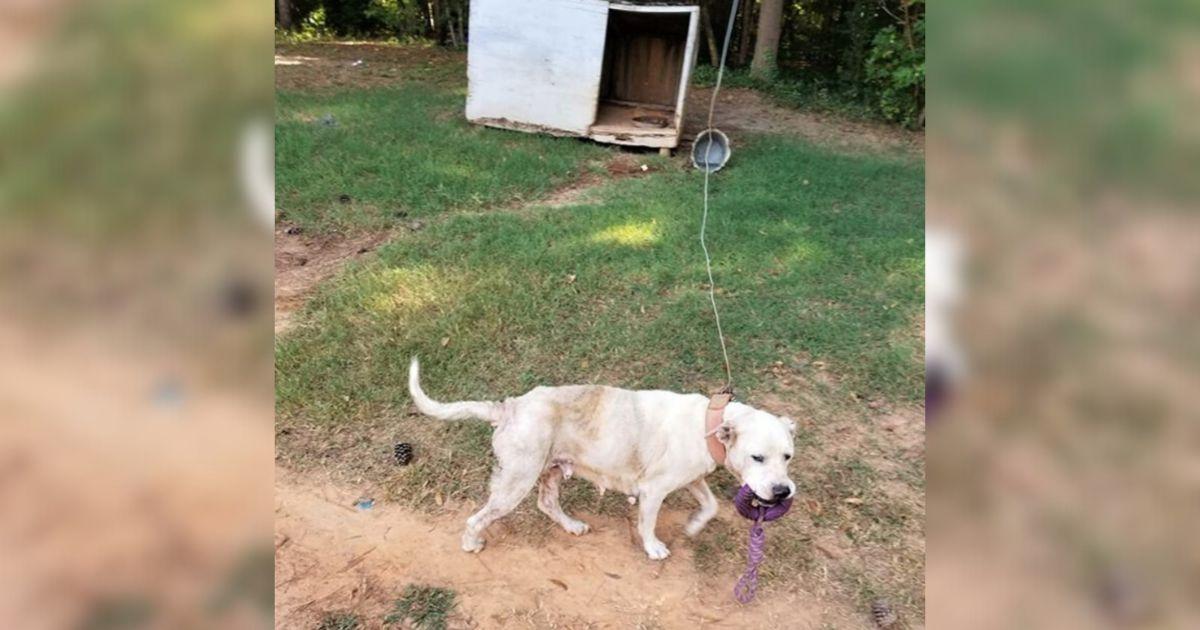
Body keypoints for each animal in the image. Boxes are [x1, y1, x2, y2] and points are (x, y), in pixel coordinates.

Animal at [408, 355, 792, 556]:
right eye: (758, 457)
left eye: (788, 456)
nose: (782, 492)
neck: (709, 424)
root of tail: (509, 407)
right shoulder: (654, 490)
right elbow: (648, 523)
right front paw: (653, 548)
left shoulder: (692, 478)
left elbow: (710, 505)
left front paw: (695, 525)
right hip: (516, 481)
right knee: (478, 517)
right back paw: (471, 543)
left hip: (549, 471)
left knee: (547, 503)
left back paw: (572, 525)